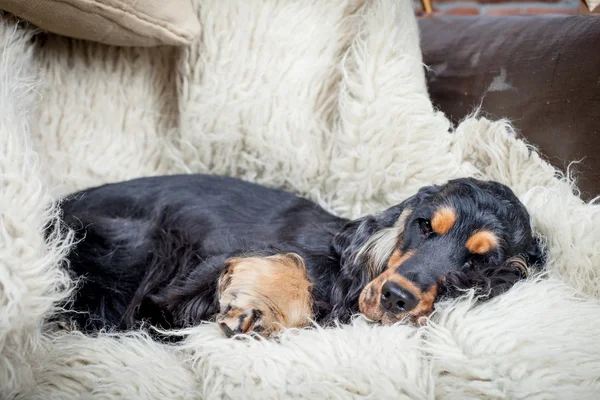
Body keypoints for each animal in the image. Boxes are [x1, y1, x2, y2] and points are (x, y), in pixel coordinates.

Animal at [55, 175, 544, 338]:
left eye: (478, 262)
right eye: (424, 225)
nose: (396, 298)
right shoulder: (200, 268)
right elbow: (290, 266)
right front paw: (254, 306)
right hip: (143, 238)